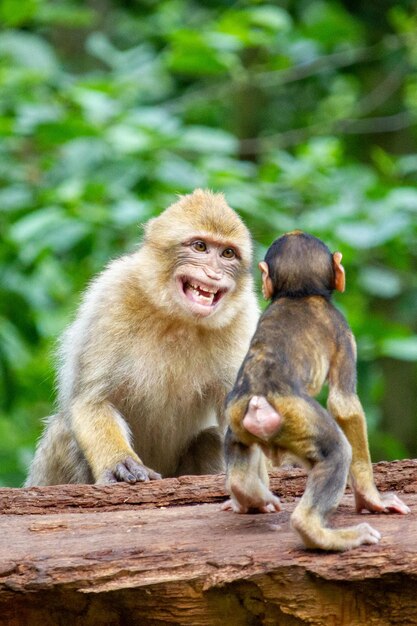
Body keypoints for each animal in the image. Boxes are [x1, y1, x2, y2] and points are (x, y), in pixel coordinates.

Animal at [26, 188, 256, 486]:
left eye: (228, 253)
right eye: (200, 247)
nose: (214, 273)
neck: (177, 318)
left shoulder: (244, 321)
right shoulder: (112, 295)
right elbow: (90, 401)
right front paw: (119, 463)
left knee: (209, 441)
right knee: (63, 431)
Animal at [223, 232, 408, 548]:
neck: (298, 294)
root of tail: (260, 401)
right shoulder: (343, 330)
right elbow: (344, 404)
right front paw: (373, 500)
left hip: (237, 415)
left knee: (237, 460)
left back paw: (247, 496)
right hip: (298, 416)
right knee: (337, 451)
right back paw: (316, 531)